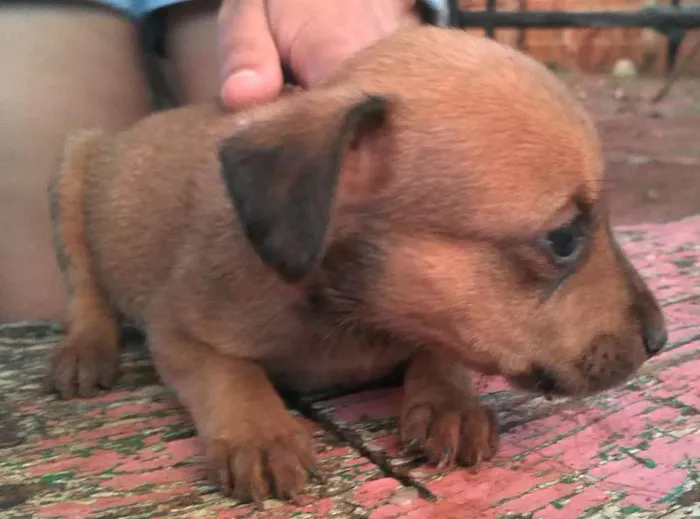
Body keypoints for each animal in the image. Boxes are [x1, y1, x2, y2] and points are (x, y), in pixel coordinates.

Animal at [43, 26, 668, 506]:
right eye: (562, 239)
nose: (660, 340)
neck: (355, 314)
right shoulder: (175, 326)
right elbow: (228, 374)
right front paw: (261, 433)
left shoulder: (437, 320)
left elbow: (442, 349)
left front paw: (451, 404)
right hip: (71, 172)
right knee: (86, 288)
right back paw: (85, 350)